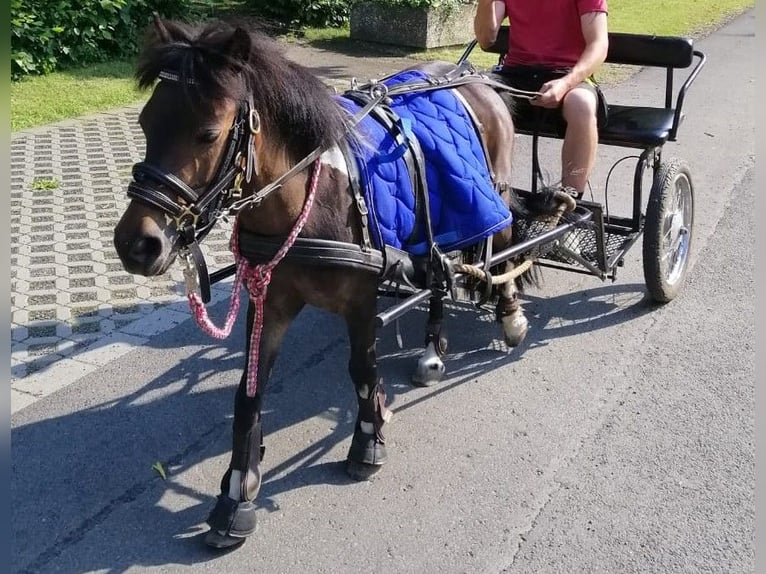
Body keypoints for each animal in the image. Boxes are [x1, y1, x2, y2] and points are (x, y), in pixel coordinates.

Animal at [114, 15, 568, 552]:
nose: (136, 245)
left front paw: (367, 442)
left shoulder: (360, 300)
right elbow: (249, 392)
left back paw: (509, 315)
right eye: (146, 123)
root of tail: (472, 75)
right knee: (440, 271)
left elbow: (362, 370)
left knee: (502, 247)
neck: (311, 196)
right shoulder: (270, 299)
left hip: (491, 192)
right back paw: (432, 346)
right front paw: (237, 493)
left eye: (207, 134)